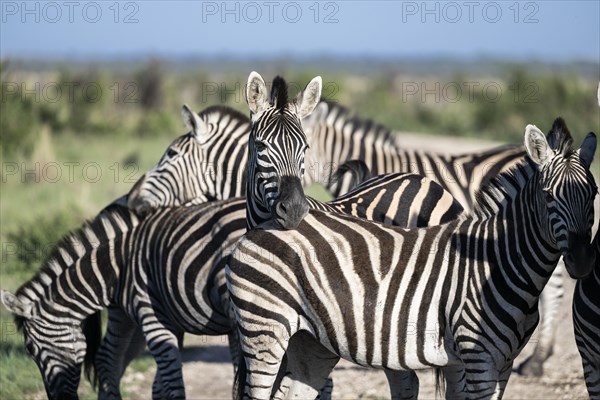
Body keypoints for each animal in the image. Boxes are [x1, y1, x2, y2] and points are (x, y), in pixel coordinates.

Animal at [227, 119, 596, 400]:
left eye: (593, 194)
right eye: (548, 196)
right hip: (264, 328)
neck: (500, 263)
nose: (581, 260)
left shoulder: (502, 364)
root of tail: (263, 225)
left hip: (310, 342)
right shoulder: (477, 358)